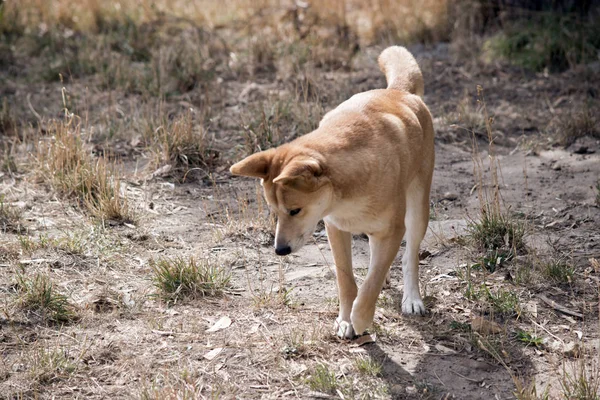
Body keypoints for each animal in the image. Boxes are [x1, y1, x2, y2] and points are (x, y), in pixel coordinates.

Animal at [232, 45, 434, 338]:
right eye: (274, 212)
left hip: (418, 209)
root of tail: (399, 92)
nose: (280, 250)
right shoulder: (336, 228)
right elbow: (346, 281)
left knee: (409, 257)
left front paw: (360, 317)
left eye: (295, 210)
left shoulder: (393, 230)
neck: (345, 196)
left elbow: (370, 283)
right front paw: (346, 320)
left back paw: (412, 298)